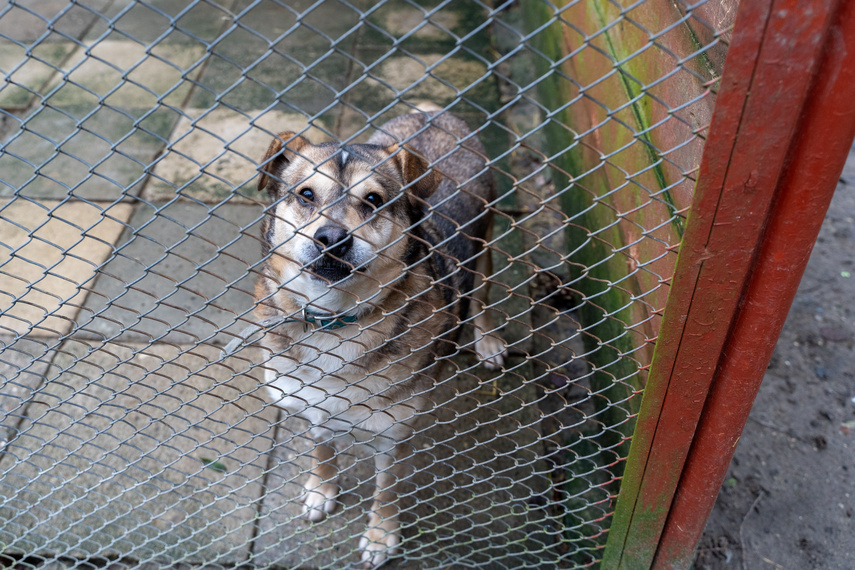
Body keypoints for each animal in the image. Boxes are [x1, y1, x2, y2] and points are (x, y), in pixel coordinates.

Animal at [251, 104, 504, 564]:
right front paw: (322, 490)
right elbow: (322, 448)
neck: (334, 319)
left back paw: (487, 339)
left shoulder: (393, 434)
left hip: (486, 242)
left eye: (373, 200)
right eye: (306, 195)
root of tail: (433, 112)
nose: (332, 239)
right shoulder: (309, 403)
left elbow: (386, 491)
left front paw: (381, 536)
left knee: (482, 294)